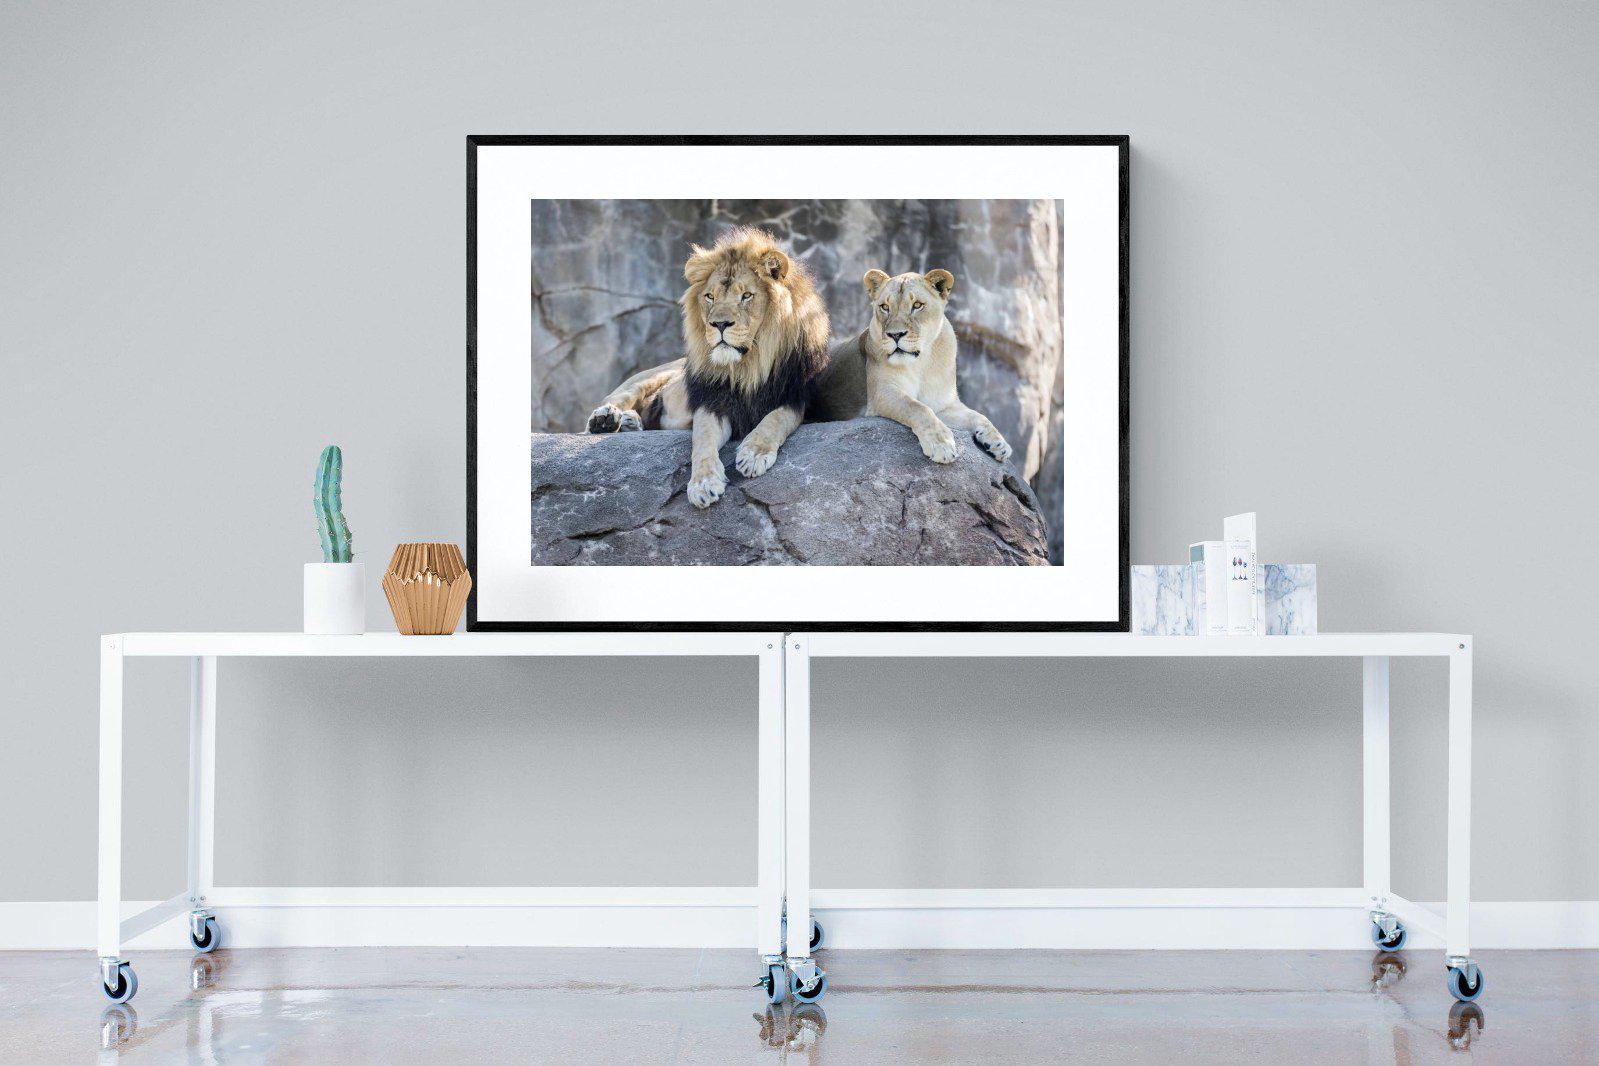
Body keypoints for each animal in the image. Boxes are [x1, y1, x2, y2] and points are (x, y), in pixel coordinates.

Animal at [584, 229, 831, 508]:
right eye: (710, 296)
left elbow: (776, 419)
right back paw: (606, 419)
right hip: (650, 376)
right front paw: (703, 484)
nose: (719, 324)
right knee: (618, 397)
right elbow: (702, 439)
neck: (748, 366)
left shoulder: (796, 397)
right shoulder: (712, 401)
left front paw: (753, 454)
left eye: (746, 296)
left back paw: (629, 422)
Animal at [823, 267, 1012, 464]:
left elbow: (978, 415)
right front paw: (941, 445)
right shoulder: (882, 393)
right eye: (885, 307)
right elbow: (918, 407)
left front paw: (999, 443)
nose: (895, 334)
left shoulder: (944, 404)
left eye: (917, 305)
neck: (921, 363)